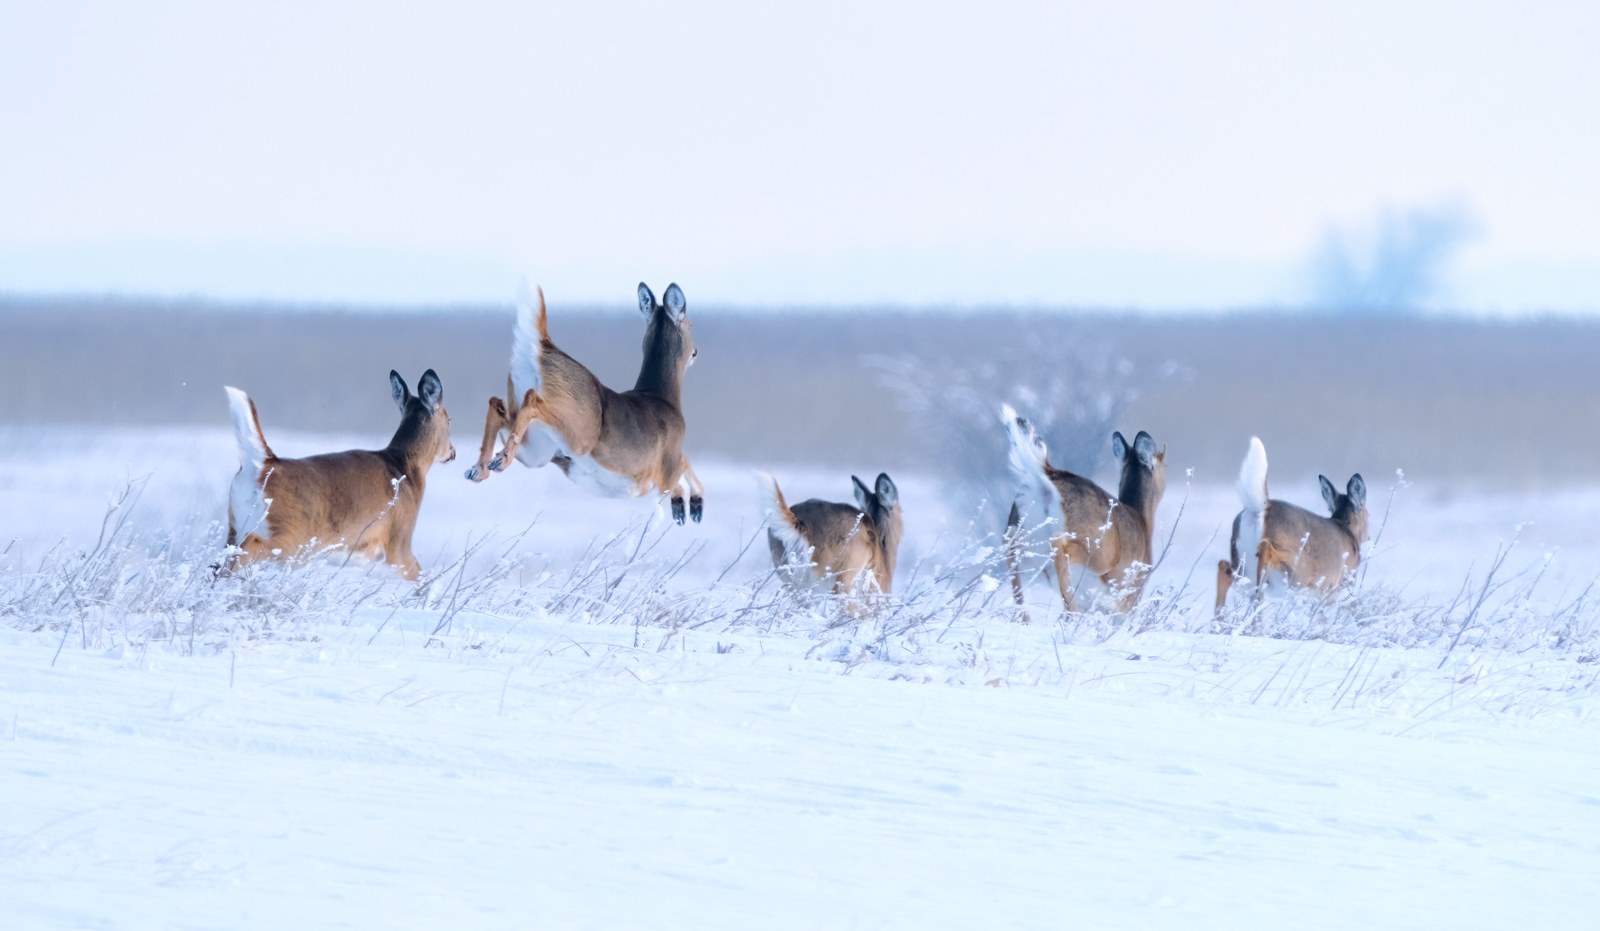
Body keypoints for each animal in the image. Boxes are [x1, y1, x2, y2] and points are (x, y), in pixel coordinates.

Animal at [221, 370, 456, 580]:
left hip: (235, 526)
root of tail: (263, 464)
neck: (405, 467)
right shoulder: (399, 541)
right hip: (290, 537)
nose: (452, 452)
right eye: (449, 420)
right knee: (247, 550)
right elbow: (421, 578)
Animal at [465, 283, 705, 524]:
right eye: (690, 323)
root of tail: (543, 347)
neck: (663, 397)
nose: (696, 352)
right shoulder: (666, 466)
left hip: (538, 450)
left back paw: (480, 468)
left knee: (497, 405)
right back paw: (499, 461)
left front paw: (690, 507)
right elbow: (684, 467)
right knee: (532, 400)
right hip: (577, 434)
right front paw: (689, 506)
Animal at [1000, 404, 1166, 614]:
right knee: (1063, 548)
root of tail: (1048, 474)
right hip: (1097, 550)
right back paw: (1068, 605)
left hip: (1020, 529)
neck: (1143, 520)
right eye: (1164, 463)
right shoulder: (1131, 597)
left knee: (1010, 545)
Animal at [1214, 436, 1368, 614]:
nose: (1368, 536)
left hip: (1242, 563)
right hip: (1298, 568)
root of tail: (1263, 507)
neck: (1347, 530)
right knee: (1266, 558)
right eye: (1367, 515)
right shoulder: (1334, 588)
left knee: (1225, 568)